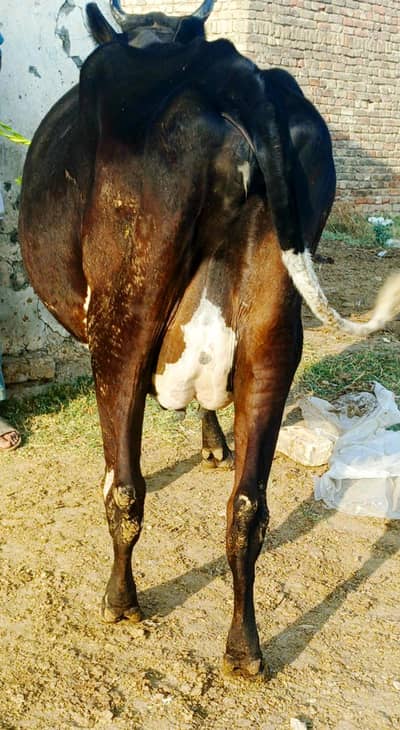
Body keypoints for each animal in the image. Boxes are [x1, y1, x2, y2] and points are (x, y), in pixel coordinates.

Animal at [19, 0, 400, 678]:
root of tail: (226, 68)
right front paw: (212, 441)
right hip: (275, 335)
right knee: (248, 508)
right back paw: (244, 648)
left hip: (123, 315)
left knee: (126, 489)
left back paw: (121, 600)